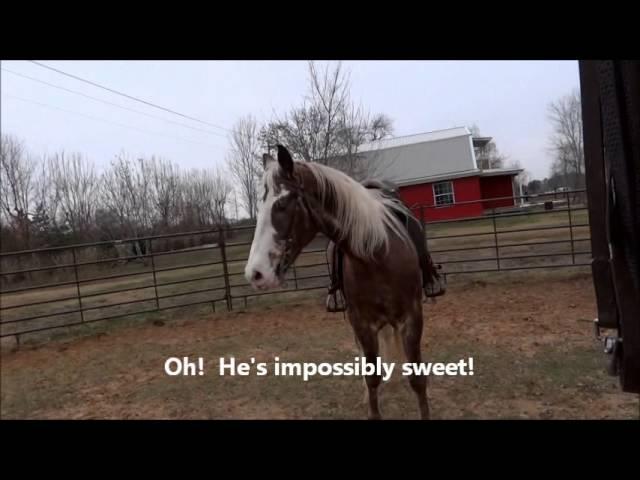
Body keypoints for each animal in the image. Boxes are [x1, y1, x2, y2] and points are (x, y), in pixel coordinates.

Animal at [245, 144, 430, 418]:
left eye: (283, 203)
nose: (255, 273)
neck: (377, 254)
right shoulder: (361, 323)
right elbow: (371, 377)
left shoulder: (412, 317)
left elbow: (417, 379)